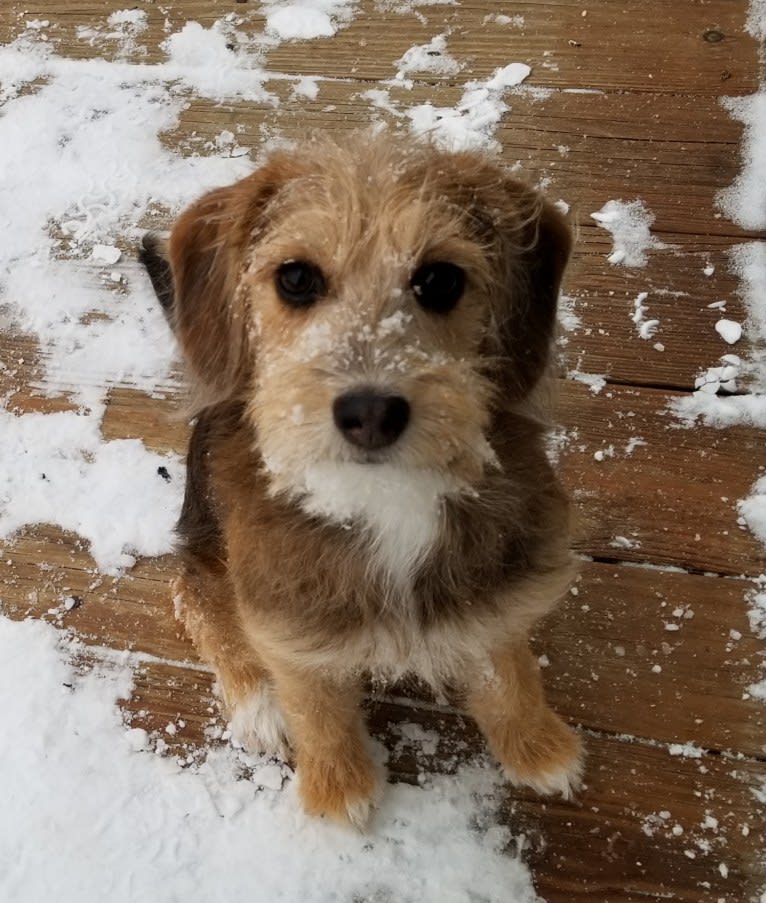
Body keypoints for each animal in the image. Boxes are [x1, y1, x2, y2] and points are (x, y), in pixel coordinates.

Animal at [140, 131, 584, 828]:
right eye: (296, 278)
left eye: (440, 279)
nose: (371, 413)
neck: (385, 500)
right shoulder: (283, 615)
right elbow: (316, 707)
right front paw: (337, 792)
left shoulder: (499, 586)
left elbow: (507, 670)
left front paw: (538, 747)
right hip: (208, 546)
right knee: (193, 597)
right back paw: (257, 704)